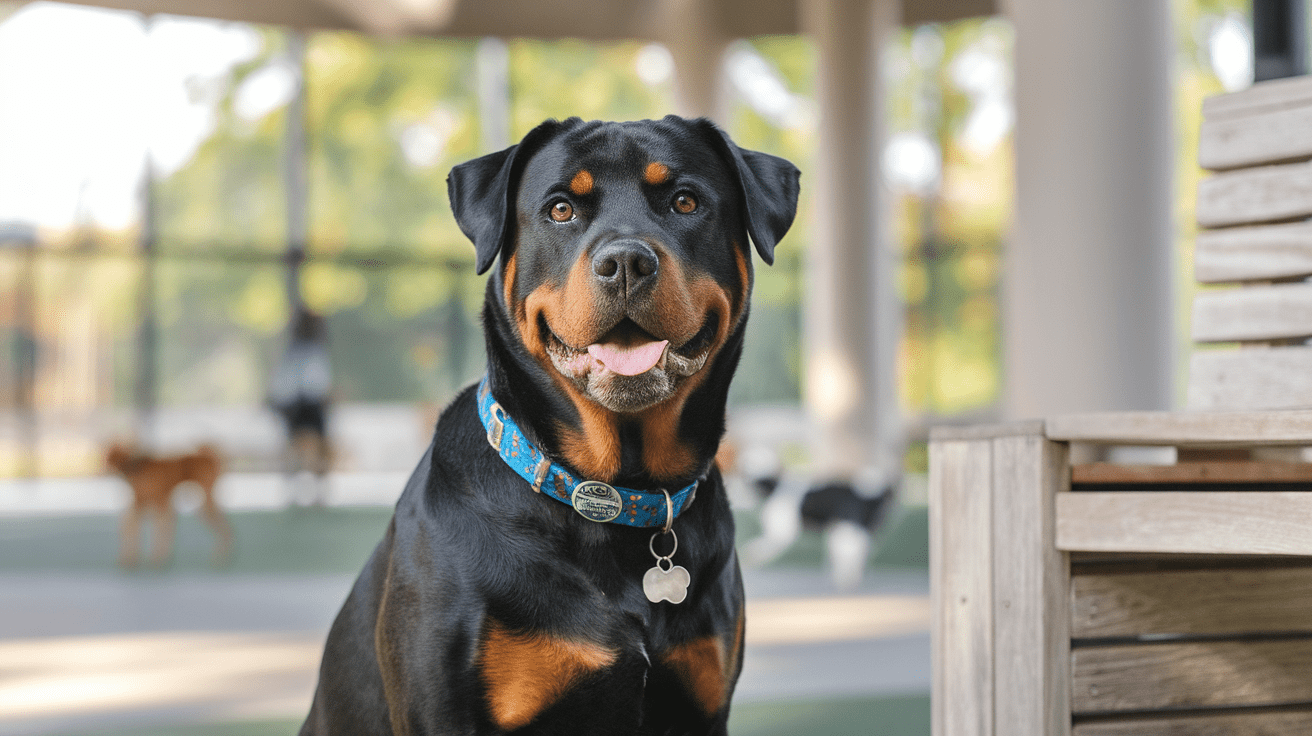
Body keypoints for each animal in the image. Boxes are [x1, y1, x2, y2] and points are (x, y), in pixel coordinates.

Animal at [106, 440, 233, 569]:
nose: (108, 465)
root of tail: (208, 456)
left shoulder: (158, 506)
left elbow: (156, 533)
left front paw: (156, 559)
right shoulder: (147, 507)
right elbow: (134, 530)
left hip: (206, 505)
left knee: (225, 528)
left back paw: (222, 555)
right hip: (203, 506)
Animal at [301, 116, 797, 734]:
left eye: (685, 201)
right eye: (561, 208)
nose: (626, 261)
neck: (614, 495)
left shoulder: (699, 706)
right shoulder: (445, 711)